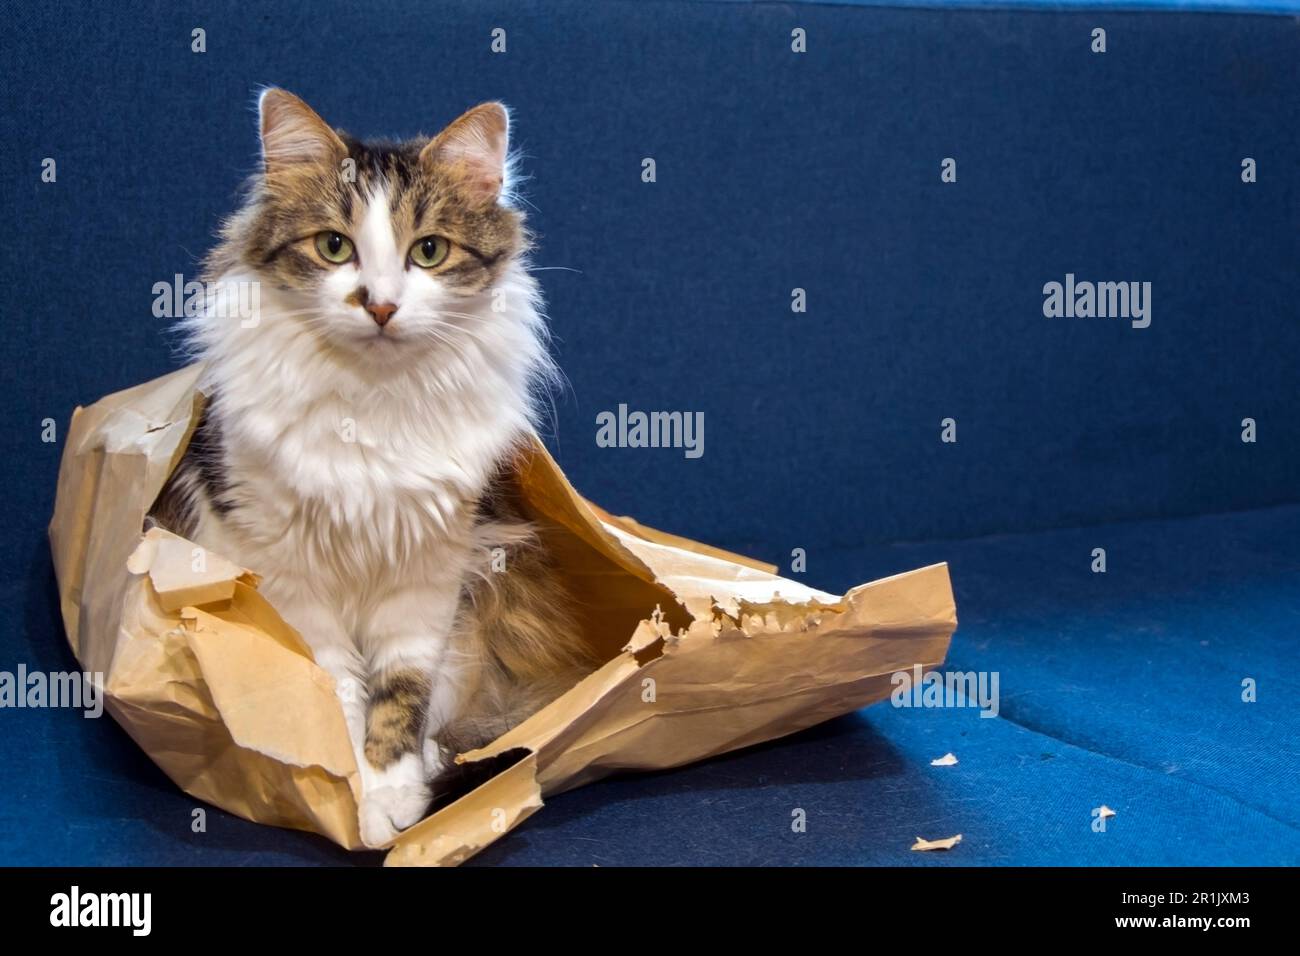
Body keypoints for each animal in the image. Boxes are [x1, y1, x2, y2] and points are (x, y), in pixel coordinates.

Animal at [150, 85, 595, 842]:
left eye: (429, 251)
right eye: (334, 246)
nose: (381, 306)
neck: (372, 401)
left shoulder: (427, 575)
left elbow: (398, 695)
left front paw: (391, 796)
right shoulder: (289, 577)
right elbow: (337, 692)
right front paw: (352, 791)